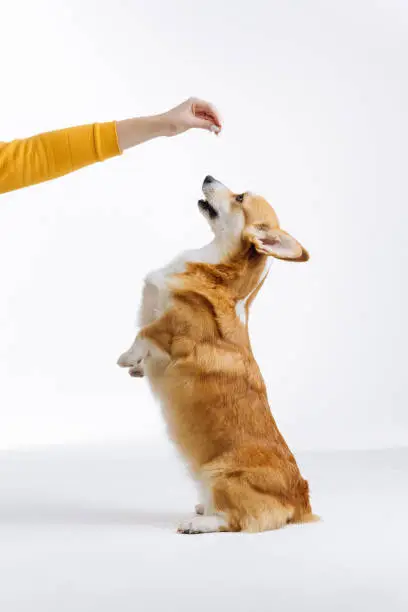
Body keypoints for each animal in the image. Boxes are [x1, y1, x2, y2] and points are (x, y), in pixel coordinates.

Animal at [118, 175, 316, 532]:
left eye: (239, 198)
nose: (208, 176)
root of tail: (300, 504)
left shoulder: (174, 331)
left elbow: (146, 332)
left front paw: (127, 358)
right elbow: (146, 345)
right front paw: (137, 368)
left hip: (220, 474)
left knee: (234, 519)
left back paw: (198, 522)